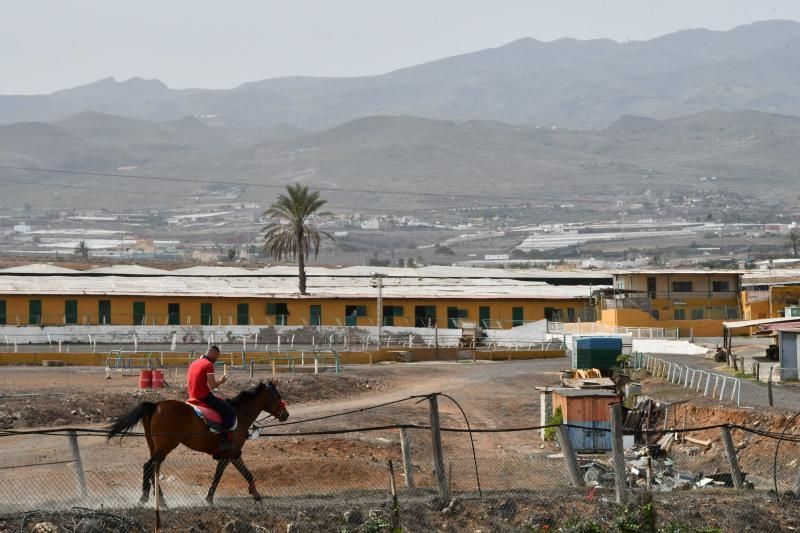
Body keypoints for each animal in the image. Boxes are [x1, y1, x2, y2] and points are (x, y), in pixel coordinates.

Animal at [108, 376, 290, 504]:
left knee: (154, 468)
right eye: (278, 396)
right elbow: (229, 475)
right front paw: (210, 498)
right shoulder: (231, 454)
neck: (240, 414)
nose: (286, 415)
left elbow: (236, 474)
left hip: (155, 447)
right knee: (149, 466)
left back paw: (160, 500)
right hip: (165, 446)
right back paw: (145, 498)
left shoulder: (230, 455)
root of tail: (156, 405)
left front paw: (254, 494)